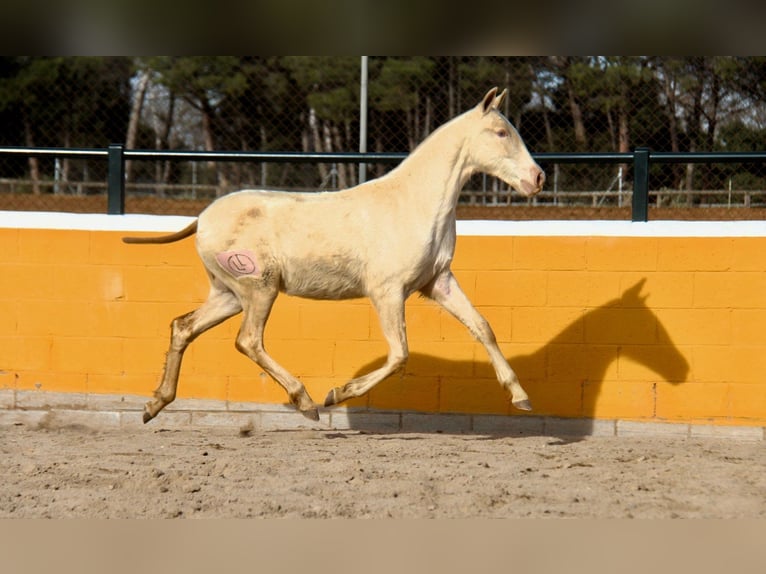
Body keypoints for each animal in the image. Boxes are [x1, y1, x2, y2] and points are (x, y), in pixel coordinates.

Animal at [123, 87, 545, 423]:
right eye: (501, 132)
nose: (537, 178)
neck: (413, 203)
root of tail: (201, 219)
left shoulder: (437, 282)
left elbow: (482, 327)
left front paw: (521, 397)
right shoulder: (387, 291)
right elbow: (399, 354)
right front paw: (337, 394)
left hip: (229, 294)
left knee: (183, 327)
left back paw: (154, 405)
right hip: (259, 289)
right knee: (249, 341)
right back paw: (307, 401)